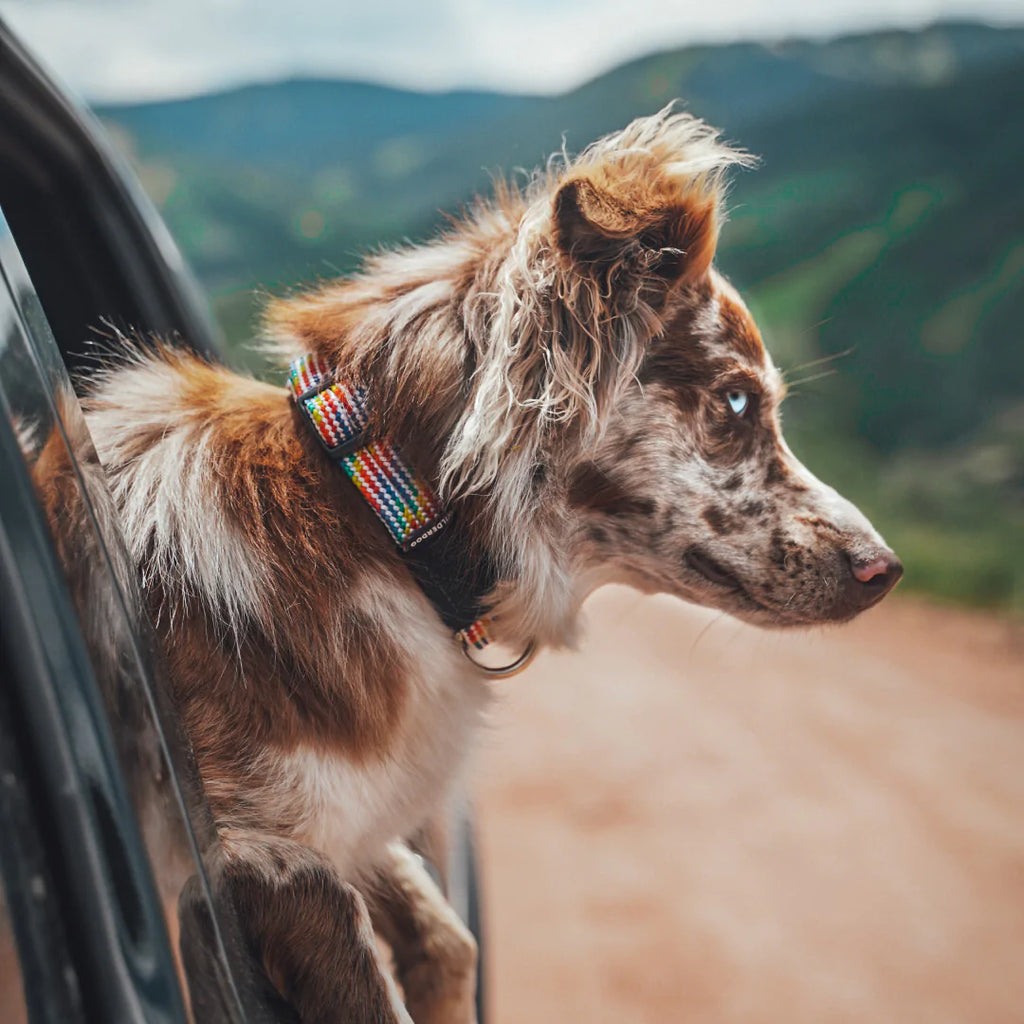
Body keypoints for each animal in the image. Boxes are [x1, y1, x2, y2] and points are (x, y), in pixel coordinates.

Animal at [75, 108, 901, 1019]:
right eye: (737, 400)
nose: (884, 567)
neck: (385, 529)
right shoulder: (260, 851)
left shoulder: (355, 820)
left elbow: (450, 939)